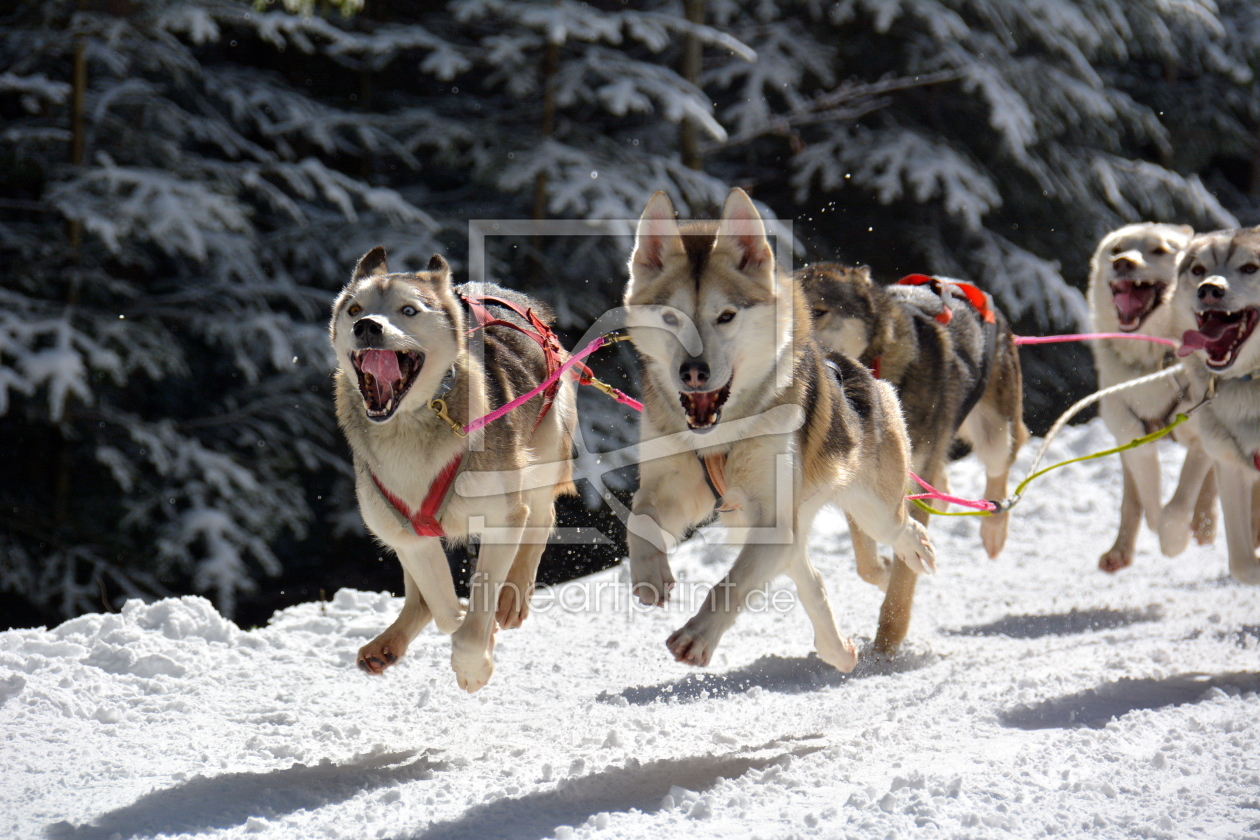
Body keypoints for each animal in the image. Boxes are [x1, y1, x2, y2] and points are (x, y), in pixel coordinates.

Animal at [330, 248, 577, 690]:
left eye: (409, 310)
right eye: (354, 309)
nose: (367, 326)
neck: (407, 427)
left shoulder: (502, 517)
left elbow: (475, 615)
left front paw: (474, 664)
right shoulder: (409, 536)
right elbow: (444, 608)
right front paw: (464, 622)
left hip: (543, 450)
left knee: (541, 514)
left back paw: (512, 596)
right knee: (421, 598)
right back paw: (387, 643)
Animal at [622, 187, 937, 664]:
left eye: (726, 316)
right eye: (670, 318)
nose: (692, 371)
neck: (723, 435)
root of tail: (857, 369)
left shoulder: (773, 518)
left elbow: (730, 587)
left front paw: (699, 634)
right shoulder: (676, 488)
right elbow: (638, 515)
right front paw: (651, 574)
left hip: (871, 507)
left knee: (902, 527)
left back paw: (915, 554)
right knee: (811, 577)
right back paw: (837, 649)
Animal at [801, 265, 1028, 581]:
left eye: (819, 311)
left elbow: (901, 578)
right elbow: (868, 565)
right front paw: (883, 571)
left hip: (994, 432)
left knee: (1001, 464)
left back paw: (993, 529)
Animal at [1088, 222, 1214, 571]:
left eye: (1159, 250)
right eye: (1116, 250)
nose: (1122, 264)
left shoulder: (1201, 433)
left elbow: (1177, 505)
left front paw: (1175, 541)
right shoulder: (1132, 438)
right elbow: (1150, 505)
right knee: (1132, 502)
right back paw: (1120, 551)